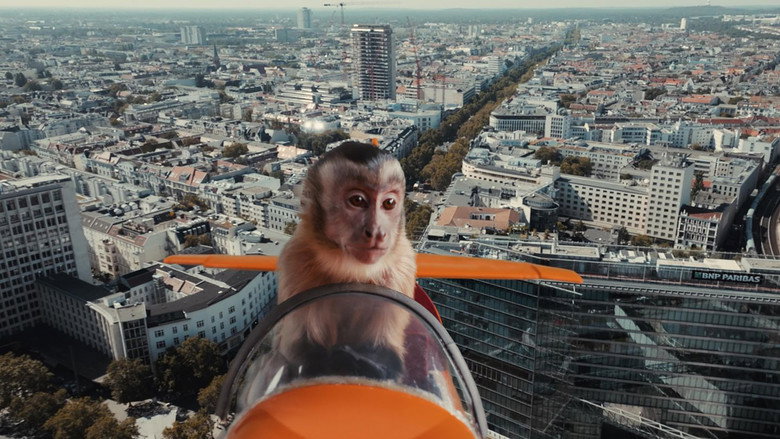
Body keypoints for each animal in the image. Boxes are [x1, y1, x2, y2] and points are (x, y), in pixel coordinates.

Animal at [275, 141, 417, 380]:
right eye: (357, 201)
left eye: (389, 203)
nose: (377, 232)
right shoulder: (296, 260)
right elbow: (296, 350)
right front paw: (337, 361)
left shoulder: (401, 270)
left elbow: (387, 356)